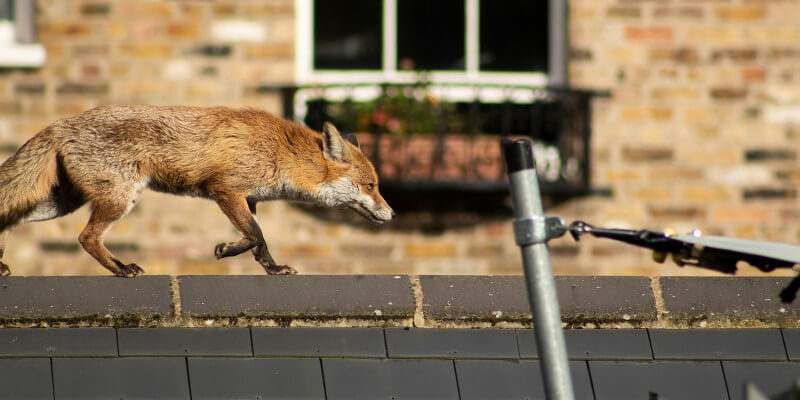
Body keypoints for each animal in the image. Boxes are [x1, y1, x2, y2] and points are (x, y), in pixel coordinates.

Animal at [0, 104, 394, 277]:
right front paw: (231, 251)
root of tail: (59, 123)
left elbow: (257, 240)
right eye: (371, 186)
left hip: (59, 202)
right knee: (87, 237)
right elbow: (256, 234)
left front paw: (268, 266)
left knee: (9, 219)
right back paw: (121, 269)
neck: (281, 152)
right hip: (118, 199)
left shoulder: (249, 198)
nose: (392, 214)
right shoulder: (226, 189)